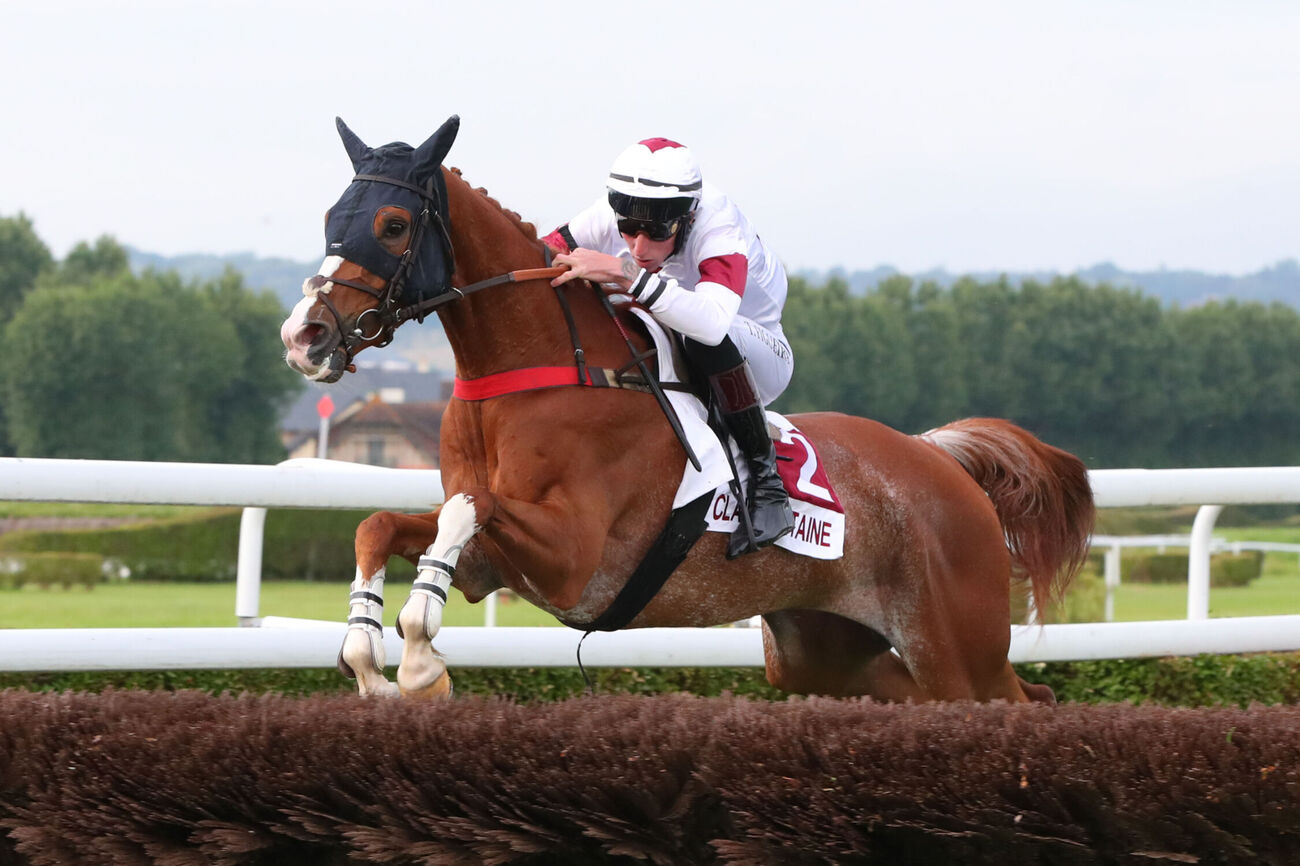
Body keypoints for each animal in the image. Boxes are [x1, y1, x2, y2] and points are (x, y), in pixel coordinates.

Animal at [280, 115, 1095, 703]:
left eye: (391, 225)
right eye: (332, 214)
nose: (304, 335)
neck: (533, 374)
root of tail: (937, 458)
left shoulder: (573, 557)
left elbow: (465, 509)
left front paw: (419, 661)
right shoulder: (494, 561)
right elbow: (384, 524)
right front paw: (367, 653)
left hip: (958, 644)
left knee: (1020, 700)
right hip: (826, 653)